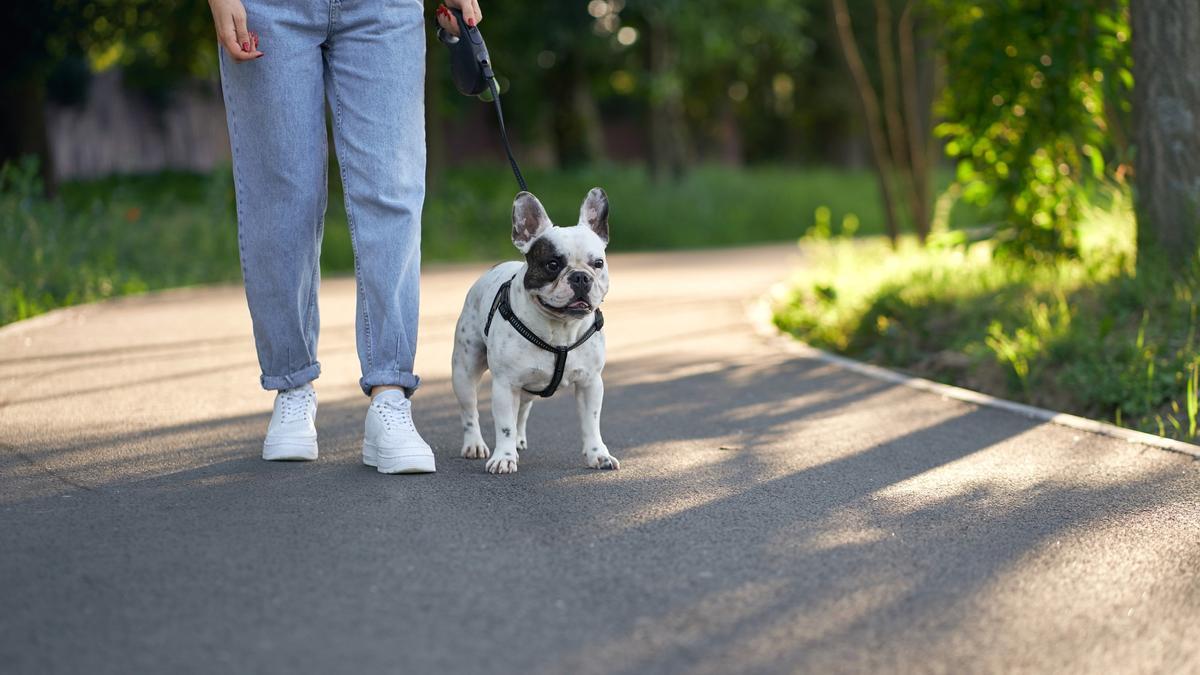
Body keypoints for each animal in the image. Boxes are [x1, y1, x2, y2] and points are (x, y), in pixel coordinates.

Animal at [451, 186, 619, 473]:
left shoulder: (590, 383)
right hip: (464, 370)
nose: (580, 277)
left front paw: (598, 455)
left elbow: (591, 423)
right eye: (552, 264)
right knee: (470, 410)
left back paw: (518, 441)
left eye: (598, 263)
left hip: (528, 385)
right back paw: (474, 444)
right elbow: (503, 425)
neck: (560, 328)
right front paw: (503, 458)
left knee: (522, 410)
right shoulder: (505, 385)